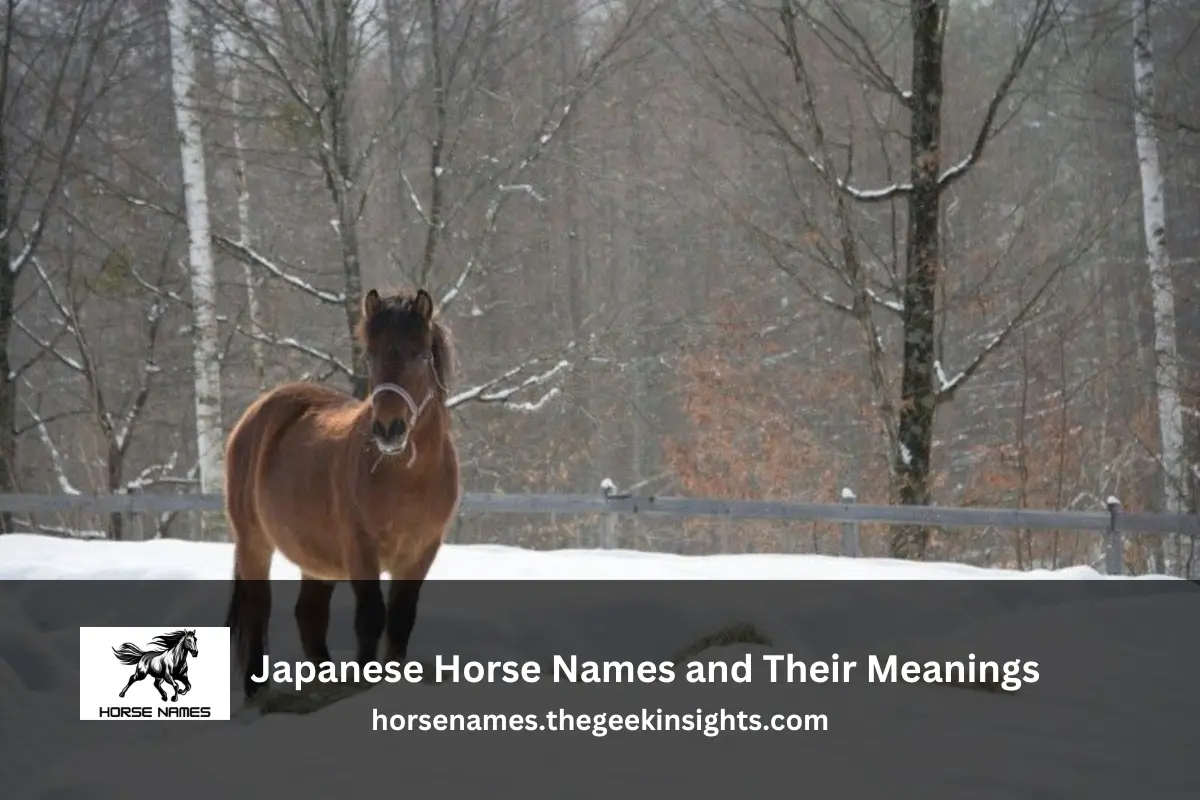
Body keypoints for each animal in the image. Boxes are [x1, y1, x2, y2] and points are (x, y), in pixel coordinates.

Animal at [222, 287, 459, 702]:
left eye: (420, 355)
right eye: (372, 355)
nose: (389, 429)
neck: (408, 478)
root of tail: (255, 414)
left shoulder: (420, 552)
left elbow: (400, 620)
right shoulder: (360, 548)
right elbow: (370, 618)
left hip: (315, 557)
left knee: (309, 617)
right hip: (253, 542)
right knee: (259, 609)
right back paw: (257, 692)